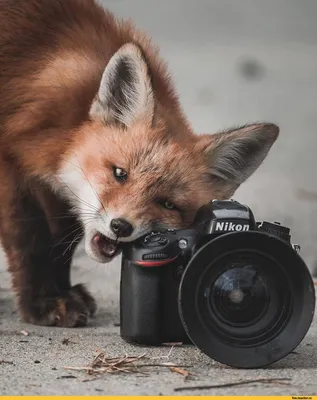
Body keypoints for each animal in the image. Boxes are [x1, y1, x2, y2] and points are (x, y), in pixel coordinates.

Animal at [0, 0, 276, 324]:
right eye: (120, 173)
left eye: (168, 204)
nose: (121, 227)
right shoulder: (12, 168)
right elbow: (33, 239)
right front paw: (42, 303)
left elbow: (60, 239)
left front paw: (59, 294)